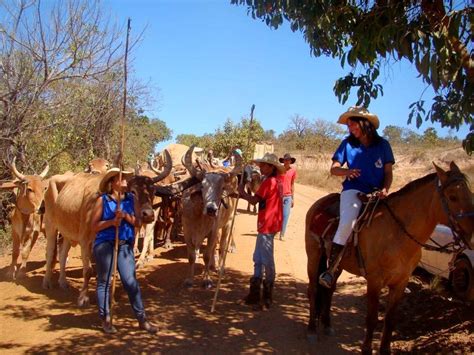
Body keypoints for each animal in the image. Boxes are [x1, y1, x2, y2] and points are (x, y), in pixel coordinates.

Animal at [306, 163, 472, 354]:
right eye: (452, 197)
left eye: (470, 193)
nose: (472, 235)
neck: (396, 233)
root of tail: (320, 203)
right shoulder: (375, 281)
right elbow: (371, 318)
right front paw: (366, 349)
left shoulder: (400, 282)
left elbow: (390, 319)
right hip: (313, 255)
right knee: (314, 289)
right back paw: (311, 330)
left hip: (338, 265)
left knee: (329, 289)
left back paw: (327, 325)